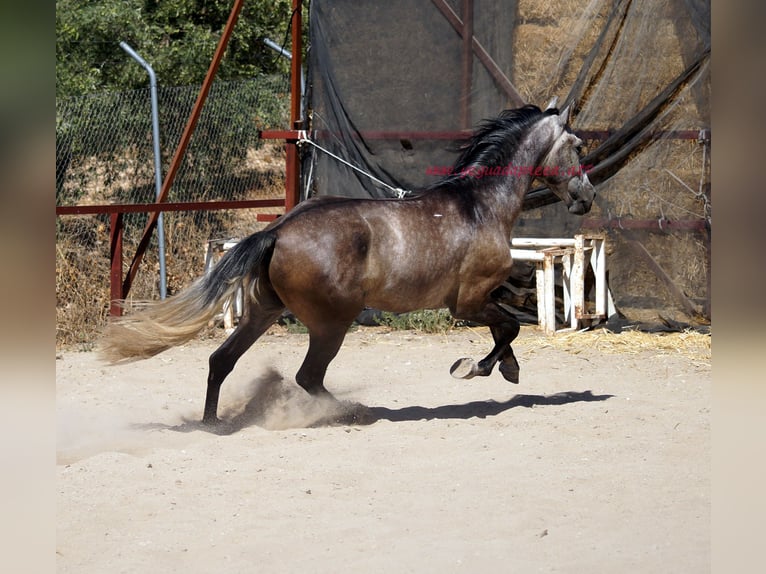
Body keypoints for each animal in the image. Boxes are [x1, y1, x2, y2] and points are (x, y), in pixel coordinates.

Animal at [100, 102, 592, 428]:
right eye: (577, 145)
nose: (586, 197)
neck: (480, 206)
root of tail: (278, 230)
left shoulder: (476, 300)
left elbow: (505, 330)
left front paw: (506, 369)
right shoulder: (468, 302)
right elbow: (507, 328)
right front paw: (475, 367)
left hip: (265, 311)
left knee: (222, 361)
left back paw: (213, 424)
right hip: (332, 322)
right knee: (307, 376)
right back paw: (353, 411)